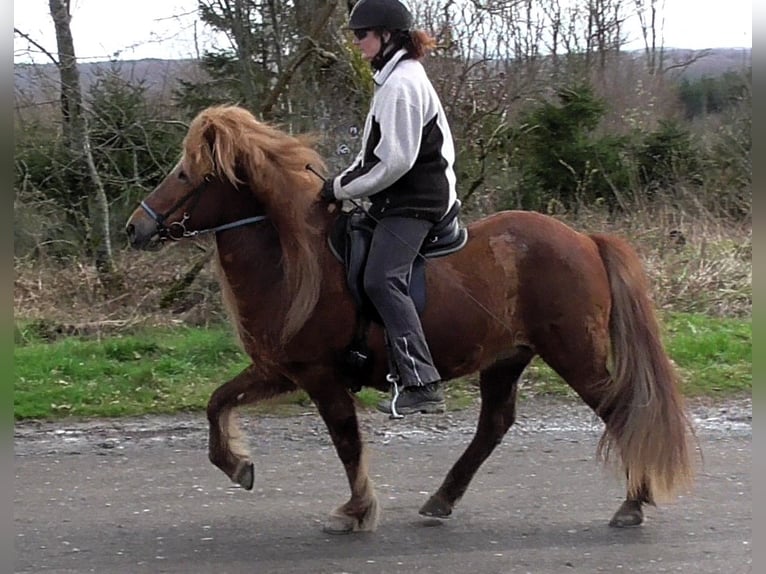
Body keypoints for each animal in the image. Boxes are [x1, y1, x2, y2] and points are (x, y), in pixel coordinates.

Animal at [127, 104, 696, 536]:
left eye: (186, 174)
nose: (136, 227)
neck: (293, 260)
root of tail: (584, 240)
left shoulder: (320, 375)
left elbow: (345, 441)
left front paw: (355, 511)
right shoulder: (280, 370)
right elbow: (217, 402)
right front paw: (238, 466)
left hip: (573, 353)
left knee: (620, 411)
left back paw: (633, 503)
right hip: (507, 357)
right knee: (494, 424)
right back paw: (441, 499)